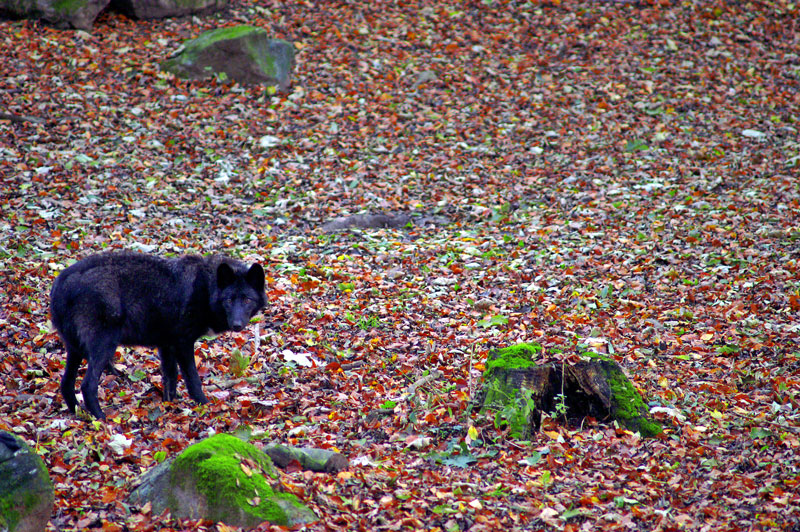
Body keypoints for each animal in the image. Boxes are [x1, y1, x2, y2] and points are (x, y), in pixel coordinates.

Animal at [50, 252, 266, 419]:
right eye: (229, 300)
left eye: (246, 299)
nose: (237, 325)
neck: (206, 288)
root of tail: (61, 280)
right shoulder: (183, 344)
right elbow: (193, 380)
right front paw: (204, 405)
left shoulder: (166, 345)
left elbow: (170, 378)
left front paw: (170, 406)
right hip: (104, 347)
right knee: (87, 386)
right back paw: (101, 419)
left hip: (75, 349)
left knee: (66, 385)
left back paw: (80, 415)